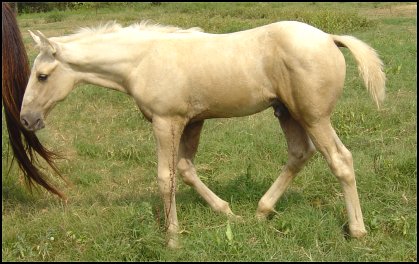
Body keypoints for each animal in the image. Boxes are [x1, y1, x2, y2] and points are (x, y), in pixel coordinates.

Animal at [21, 20, 386, 248]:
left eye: (42, 76)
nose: (26, 120)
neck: (143, 60)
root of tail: (329, 37)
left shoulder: (166, 121)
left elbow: (165, 175)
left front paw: (172, 237)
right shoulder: (193, 121)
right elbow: (185, 169)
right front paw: (224, 211)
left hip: (314, 116)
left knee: (339, 159)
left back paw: (357, 231)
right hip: (289, 113)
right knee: (301, 153)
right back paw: (261, 211)